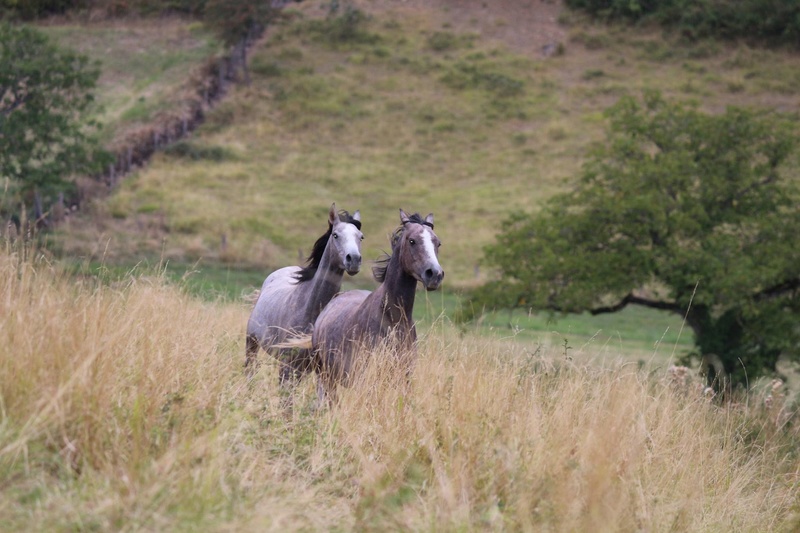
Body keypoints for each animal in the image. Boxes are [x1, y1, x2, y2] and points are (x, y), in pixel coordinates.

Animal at [245, 202, 364, 384]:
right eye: (335, 235)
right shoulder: (288, 366)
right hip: (251, 343)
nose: (354, 260)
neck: (309, 308)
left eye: (361, 236)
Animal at [310, 210, 444, 402]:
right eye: (412, 240)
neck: (393, 318)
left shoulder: (405, 378)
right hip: (326, 377)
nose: (435, 274)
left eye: (437, 242)